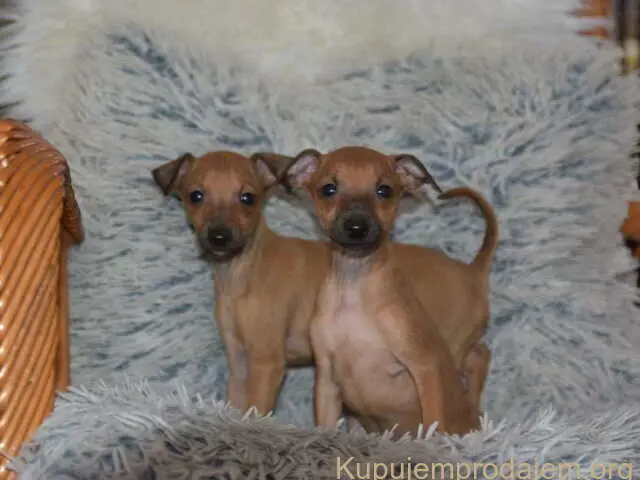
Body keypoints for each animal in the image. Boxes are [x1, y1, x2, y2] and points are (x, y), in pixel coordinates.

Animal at [152, 151, 330, 416]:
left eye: (248, 198)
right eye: (196, 196)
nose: (219, 237)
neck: (240, 273)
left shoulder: (266, 362)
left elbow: (256, 411)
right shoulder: (238, 362)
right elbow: (235, 409)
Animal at [279, 146, 498, 437]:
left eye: (384, 190)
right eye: (328, 189)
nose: (357, 227)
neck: (354, 287)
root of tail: (473, 270)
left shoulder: (425, 366)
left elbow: (433, 424)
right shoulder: (326, 380)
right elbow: (325, 427)